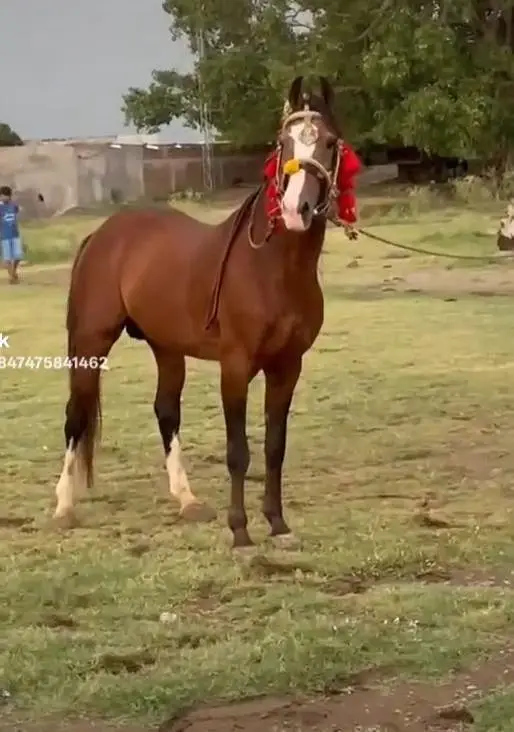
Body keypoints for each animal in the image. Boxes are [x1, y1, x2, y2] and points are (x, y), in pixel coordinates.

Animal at [54, 75, 360, 548]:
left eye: (329, 142)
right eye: (283, 143)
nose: (297, 210)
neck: (270, 268)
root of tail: (103, 234)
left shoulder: (287, 367)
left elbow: (275, 448)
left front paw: (277, 524)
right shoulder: (235, 367)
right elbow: (238, 452)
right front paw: (240, 530)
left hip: (166, 347)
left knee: (166, 412)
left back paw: (188, 501)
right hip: (90, 342)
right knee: (75, 416)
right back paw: (64, 507)